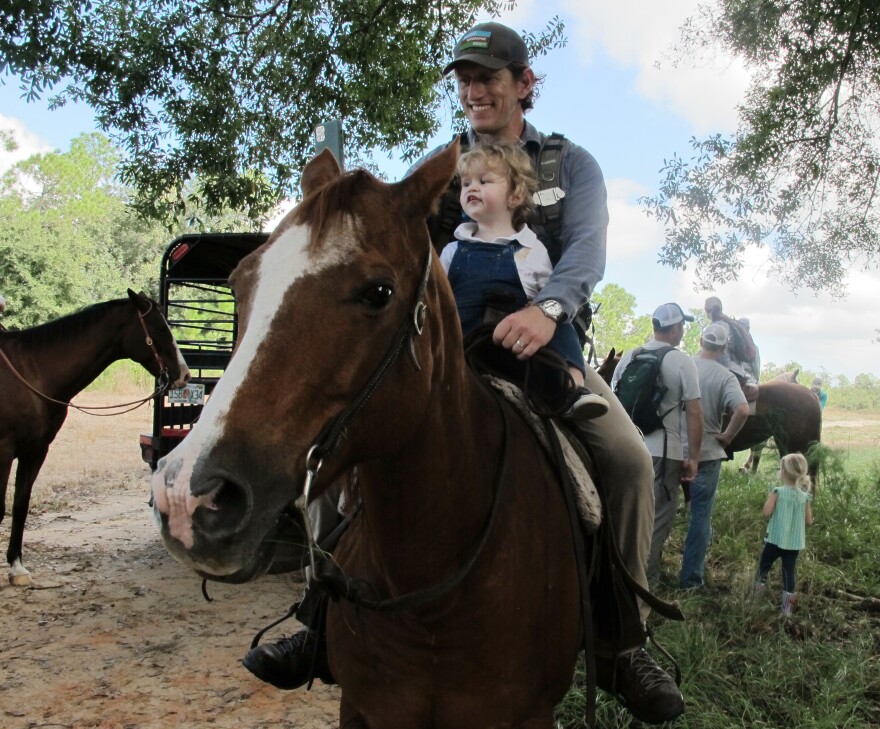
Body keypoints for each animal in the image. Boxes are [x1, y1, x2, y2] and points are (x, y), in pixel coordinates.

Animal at [0, 288, 191, 584]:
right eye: (159, 327)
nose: (184, 374)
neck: (32, 373)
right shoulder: (5, 450)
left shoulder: (35, 450)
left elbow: (20, 505)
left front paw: (17, 568)